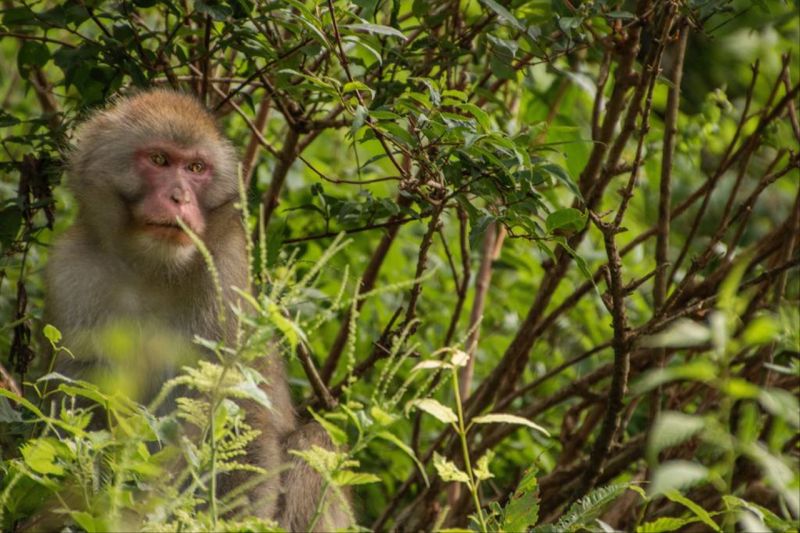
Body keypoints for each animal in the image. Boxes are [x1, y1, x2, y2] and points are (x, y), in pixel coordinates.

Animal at [43, 89, 350, 528]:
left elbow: (239, 409)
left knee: (314, 442)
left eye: (196, 168)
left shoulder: (224, 270)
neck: (150, 269)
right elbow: (80, 404)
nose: (180, 197)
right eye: (159, 160)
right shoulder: (70, 271)